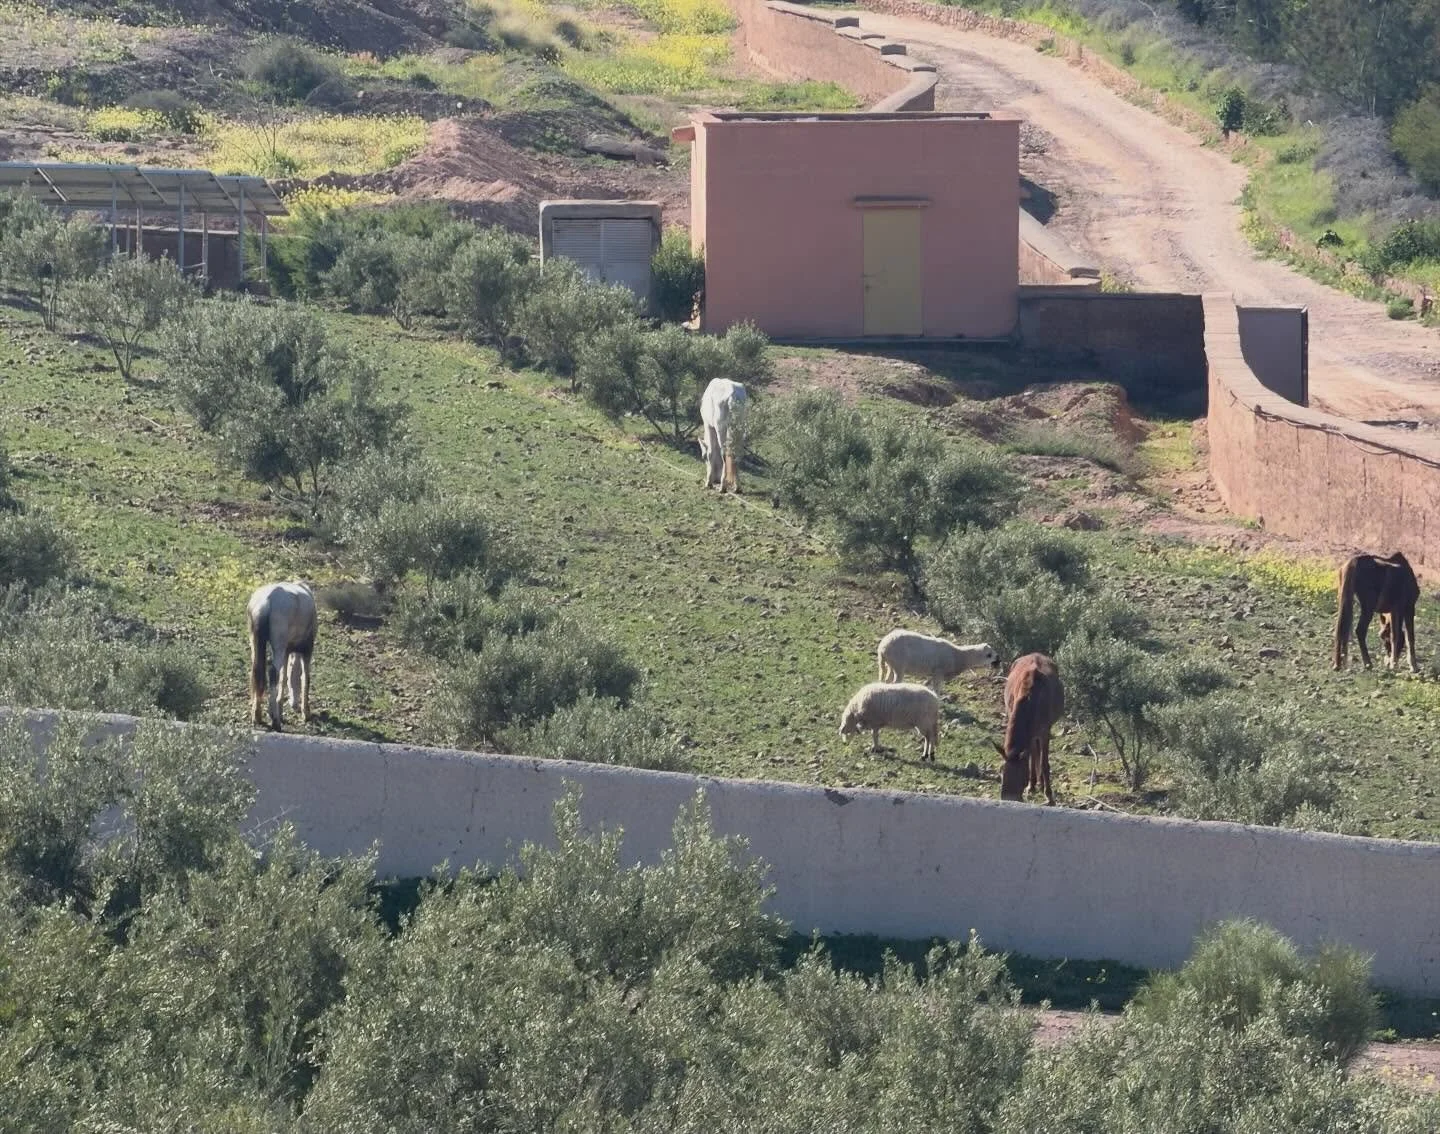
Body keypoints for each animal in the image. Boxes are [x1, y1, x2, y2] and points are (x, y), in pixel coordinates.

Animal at [247, 581, 317, 731]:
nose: (293, 703)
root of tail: (265, 602)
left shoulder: (287, 651)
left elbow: (284, 677)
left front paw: (279, 708)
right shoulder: (306, 649)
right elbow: (305, 678)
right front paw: (306, 712)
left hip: (256, 642)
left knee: (257, 672)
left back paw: (257, 715)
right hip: (279, 646)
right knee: (273, 672)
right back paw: (275, 721)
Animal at [991, 653, 1064, 805]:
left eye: (1020, 776)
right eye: (1001, 771)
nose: (1008, 798)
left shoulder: (1045, 730)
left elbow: (1044, 763)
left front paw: (1049, 795)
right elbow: (1032, 755)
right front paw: (1031, 785)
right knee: (1034, 750)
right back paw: (1036, 783)